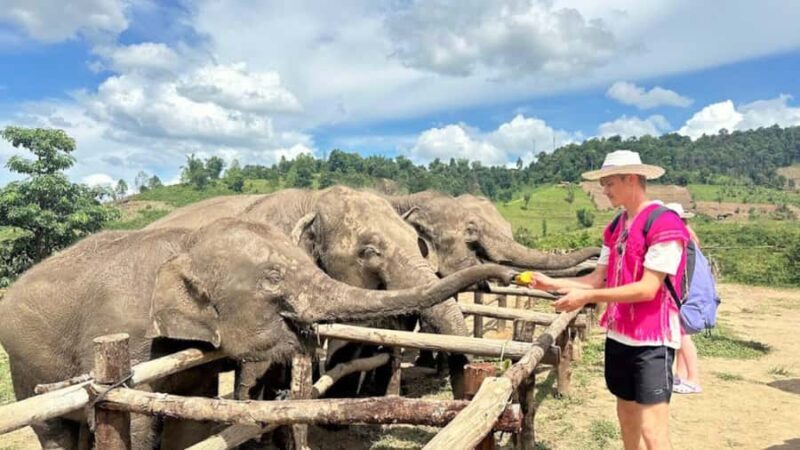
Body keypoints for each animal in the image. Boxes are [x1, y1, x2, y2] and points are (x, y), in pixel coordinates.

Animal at [0, 218, 517, 449]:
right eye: (272, 277)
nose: (506, 274)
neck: (186, 244)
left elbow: (193, 414)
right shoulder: (126, 333)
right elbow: (144, 421)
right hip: (26, 365)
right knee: (52, 428)